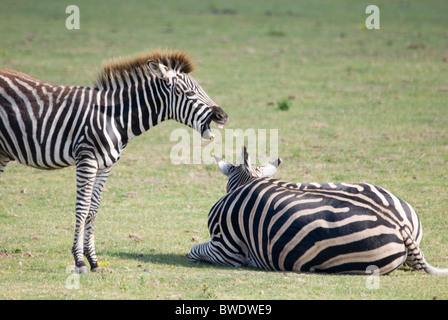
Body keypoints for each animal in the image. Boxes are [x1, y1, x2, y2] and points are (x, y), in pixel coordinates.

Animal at [0, 50, 228, 272]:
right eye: (189, 93)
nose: (223, 116)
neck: (114, 117)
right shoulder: (87, 159)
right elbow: (82, 209)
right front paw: (79, 261)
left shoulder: (105, 165)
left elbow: (93, 209)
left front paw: (93, 260)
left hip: (2, 153)